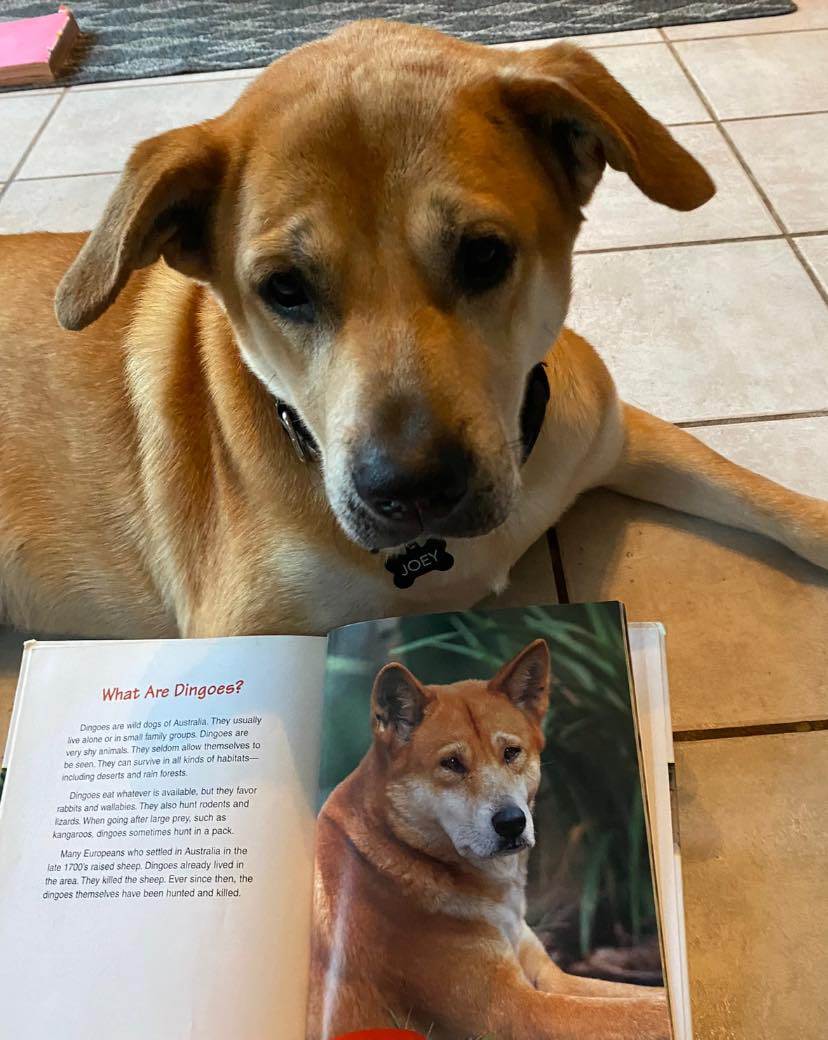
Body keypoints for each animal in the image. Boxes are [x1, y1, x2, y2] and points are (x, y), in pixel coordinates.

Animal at [1, 22, 827, 640]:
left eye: (484, 254)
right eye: (284, 288)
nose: (413, 488)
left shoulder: (615, 432)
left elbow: (765, 496)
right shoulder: (240, 634)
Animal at [307, 636, 665, 1035]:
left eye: (511, 752)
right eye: (451, 763)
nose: (511, 822)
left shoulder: (549, 975)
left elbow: (644, 996)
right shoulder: (511, 1010)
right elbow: (638, 1013)